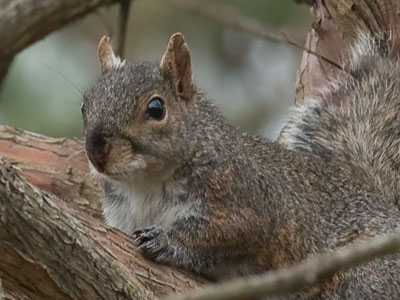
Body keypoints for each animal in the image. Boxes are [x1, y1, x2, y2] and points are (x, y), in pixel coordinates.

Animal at [81, 31, 400, 298]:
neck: (143, 184)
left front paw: (167, 242)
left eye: (156, 108)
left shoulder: (247, 205)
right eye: (85, 105)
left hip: (364, 272)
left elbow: (219, 237)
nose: (96, 151)